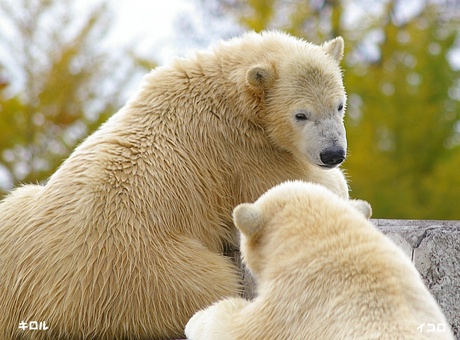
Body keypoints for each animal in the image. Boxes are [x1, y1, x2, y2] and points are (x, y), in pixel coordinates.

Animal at [0, 31, 348, 338]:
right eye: (301, 115)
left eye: (340, 105)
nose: (333, 153)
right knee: (212, 286)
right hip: (151, 276)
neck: (225, 91)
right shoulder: (241, 152)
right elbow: (295, 185)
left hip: (20, 218)